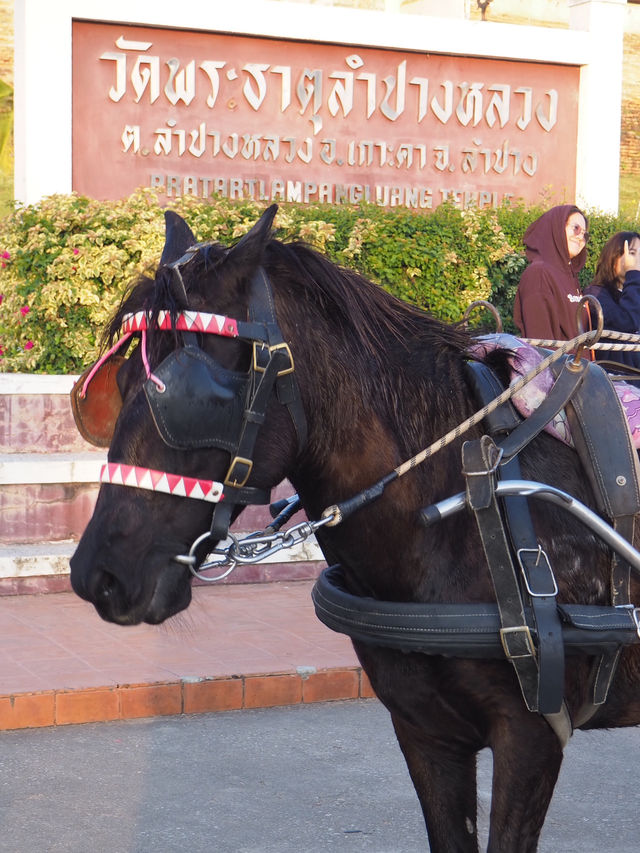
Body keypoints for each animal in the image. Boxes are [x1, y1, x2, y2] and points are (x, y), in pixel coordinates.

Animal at [71, 203, 640, 848]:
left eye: (193, 399)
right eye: (119, 386)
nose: (99, 574)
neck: (465, 495)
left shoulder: (535, 735)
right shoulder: (425, 732)